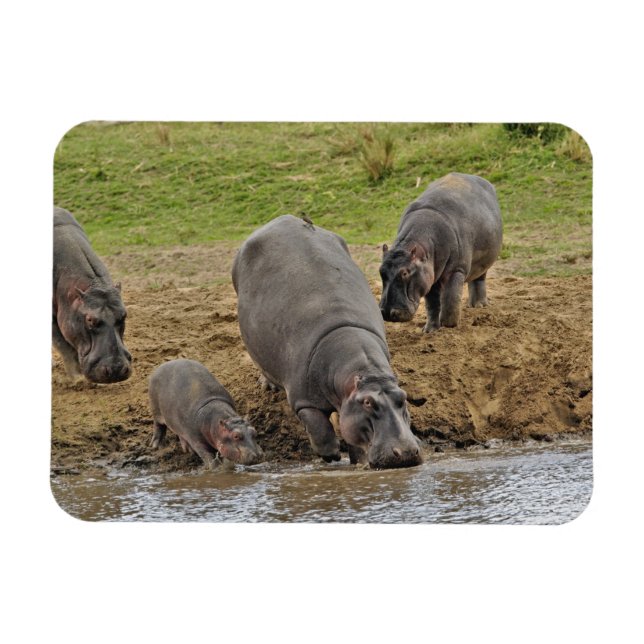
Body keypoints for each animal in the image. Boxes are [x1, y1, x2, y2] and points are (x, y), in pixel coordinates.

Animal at [232, 214, 422, 469]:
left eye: (403, 398)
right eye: (368, 403)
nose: (407, 452)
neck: (364, 372)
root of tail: (281, 219)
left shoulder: (348, 405)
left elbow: (351, 433)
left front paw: (357, 461)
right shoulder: (303, 400)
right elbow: (320, 429)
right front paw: (331, 456)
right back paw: (268, 385)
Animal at [379, 173, 503, 332]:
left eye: (405, 273)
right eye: (381, 271)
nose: (387, 312)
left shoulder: (456, 269)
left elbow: (451, 298)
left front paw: (449, 326)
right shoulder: (428, 276)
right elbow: (432, 305)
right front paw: (429, 330)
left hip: (484, 262)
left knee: (479, 279)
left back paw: (480, 306)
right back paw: (472, 305)